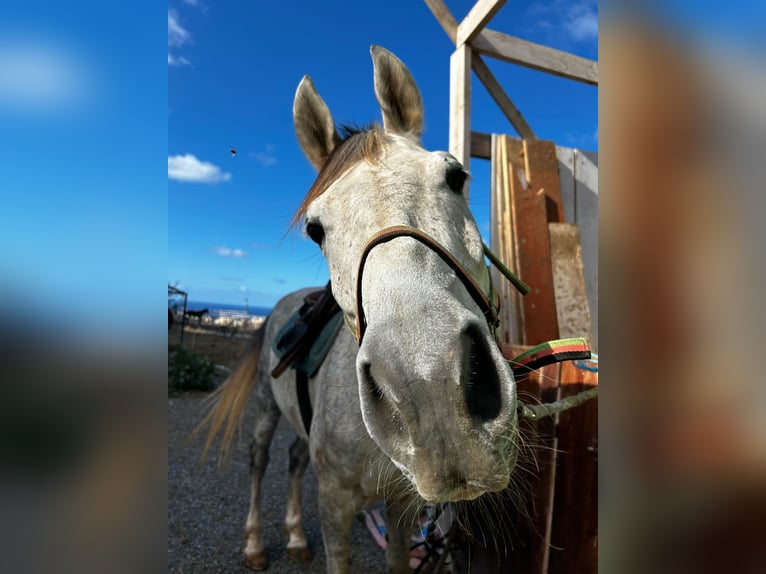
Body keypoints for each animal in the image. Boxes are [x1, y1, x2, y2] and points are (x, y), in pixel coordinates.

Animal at [201, 46, 520, 574]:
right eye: (315, 229)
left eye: (455, 176)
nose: (431, 389)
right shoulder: (334, 503)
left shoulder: (400, 507)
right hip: (266, 407)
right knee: (260, 460)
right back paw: (255, 543)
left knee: (294, 458)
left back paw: (294, 537)